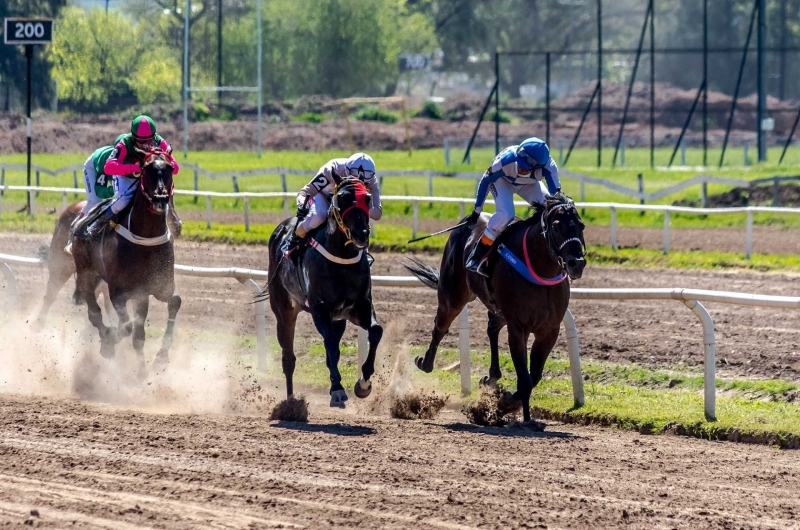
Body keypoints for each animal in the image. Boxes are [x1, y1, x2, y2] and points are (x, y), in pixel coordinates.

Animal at [71, 148, 181, 378]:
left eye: (168, 168)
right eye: (146, 168)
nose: (160, 200)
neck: (146, 239)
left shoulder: (155, 287)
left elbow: (173, 303)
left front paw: (158, 359)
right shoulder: (118, 292)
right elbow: (128, 328)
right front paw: (109, 343)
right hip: (85, 271)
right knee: (94, 312)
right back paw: (106, 337)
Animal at [268, 175, 382, 406]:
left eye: (367, 198)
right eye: (342, 198)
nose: (361, 235)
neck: (342, 258)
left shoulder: (359, 306)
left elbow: (375, 331)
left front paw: (363, 383)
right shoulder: (319, 308)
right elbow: (328, 344)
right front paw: (337, 389)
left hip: (338, 319)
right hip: (284, 311)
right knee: (288, 357)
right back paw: (291, 402)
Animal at [406, 192, 588, 418]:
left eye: (581, 225)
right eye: (555, 226)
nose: (576, 263)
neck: (540, 270)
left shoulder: (549, 330)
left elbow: (535, 375)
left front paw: (507, 402)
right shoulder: (518, 327)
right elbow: (525, 379)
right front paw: (518, 413)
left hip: (497, 309)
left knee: (492, 327)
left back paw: (492, 376)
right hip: (452, 295)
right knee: (440, 327)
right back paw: (425, 363)